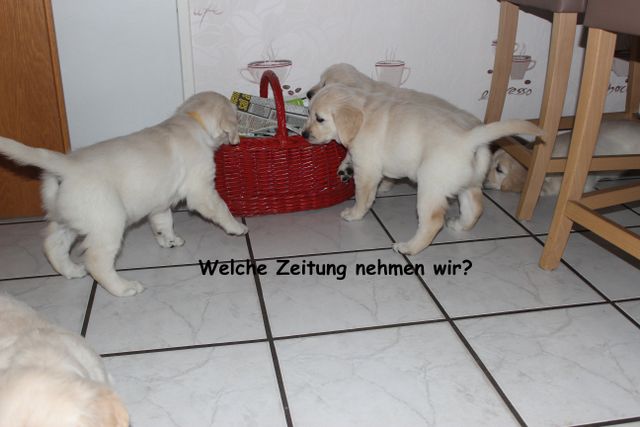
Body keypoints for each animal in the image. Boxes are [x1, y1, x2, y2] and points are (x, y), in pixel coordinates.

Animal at [0, 92, 247, 297]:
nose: (239, 139)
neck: (192, 120)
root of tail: (66, 166)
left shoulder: (159, 200)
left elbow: (163, 221)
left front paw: (169, 239)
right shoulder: (201, 188)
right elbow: (220, 207)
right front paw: (237, 227)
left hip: (70, 216)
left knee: (53, 245)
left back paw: (71, 271)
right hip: (107, 219)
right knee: (96, 260)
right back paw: (124, 287)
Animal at [302, 84, 543, 255]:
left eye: (319, 118)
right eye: (309, 113)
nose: (304, 134)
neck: (364, 111)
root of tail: (468, 139)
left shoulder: (367, 168)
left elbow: (363, 196)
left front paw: (353, 214)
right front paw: (345, 167)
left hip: (430, 186)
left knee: (433, 222)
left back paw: (409, 248)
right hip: (469, 183)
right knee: (475, 208)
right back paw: (459, 225)